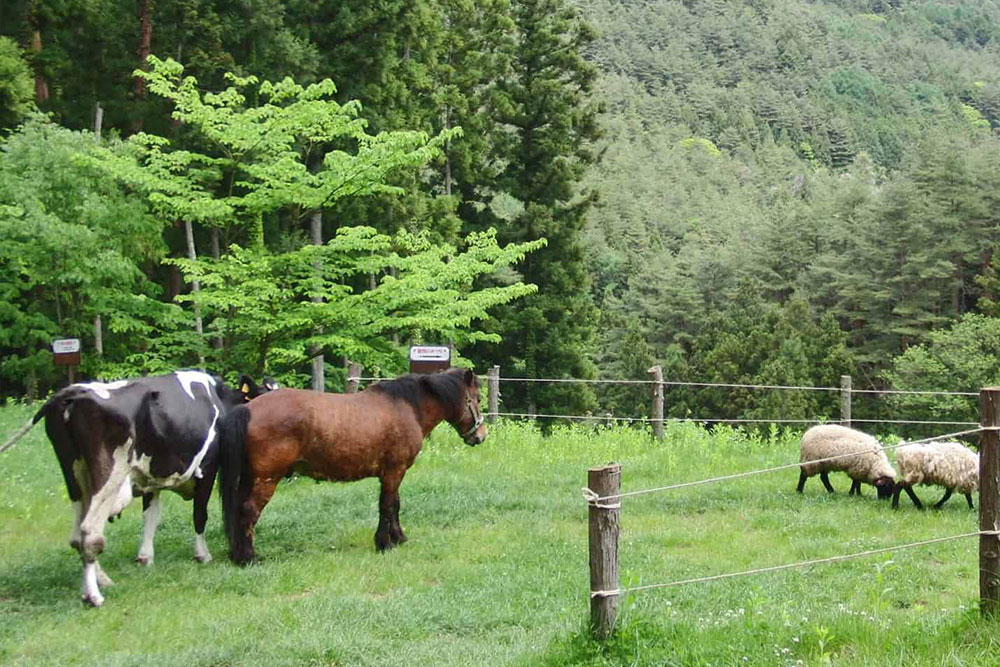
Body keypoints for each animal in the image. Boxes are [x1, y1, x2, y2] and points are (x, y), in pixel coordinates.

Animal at [0, 370, 274, 604]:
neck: (219, 398)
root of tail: (72, 393)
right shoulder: (207, 468)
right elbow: (200, 515)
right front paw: (202, 554)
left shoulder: (150, 478)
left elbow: (151, 517)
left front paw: (145, 557)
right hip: (108, 475)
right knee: (89, 532)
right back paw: (93, 595)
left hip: (75, 476)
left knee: (77, 533)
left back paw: (102, 580)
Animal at [217, 368, 486, 568]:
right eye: (478, 399)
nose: (481, 435)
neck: (407, 407)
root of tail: (247, 408)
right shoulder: (394, 471)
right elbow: (387, 506)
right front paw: (384, 543)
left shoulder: (393, 473)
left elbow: (395, 505)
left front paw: (398, 537)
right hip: (266, 479)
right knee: (248, 512)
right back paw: (249, 558)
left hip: (249, 478)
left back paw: (237, 554)